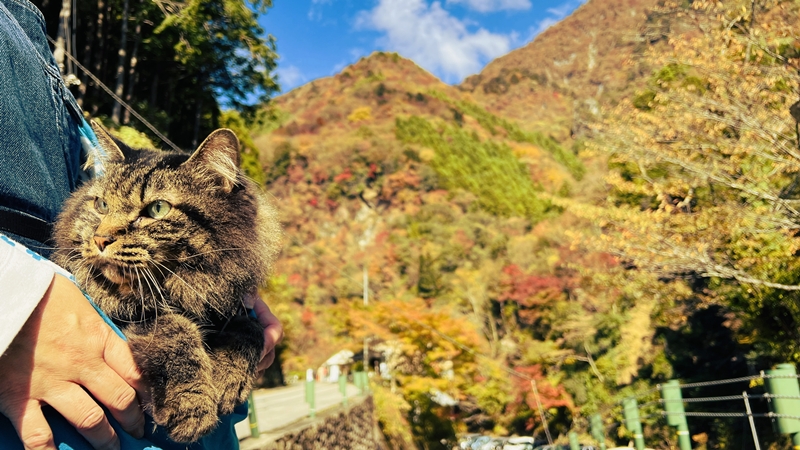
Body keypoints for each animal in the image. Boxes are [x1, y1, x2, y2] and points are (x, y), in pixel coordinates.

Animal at [50, 122, 282, 442]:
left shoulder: (233, 305)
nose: (100, 239)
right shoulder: (134, 315)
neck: (183, 289)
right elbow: (177, 335)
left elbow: (250, 328)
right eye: (102, 205)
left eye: (157, 209)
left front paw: (227, 380)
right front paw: (192, 408)